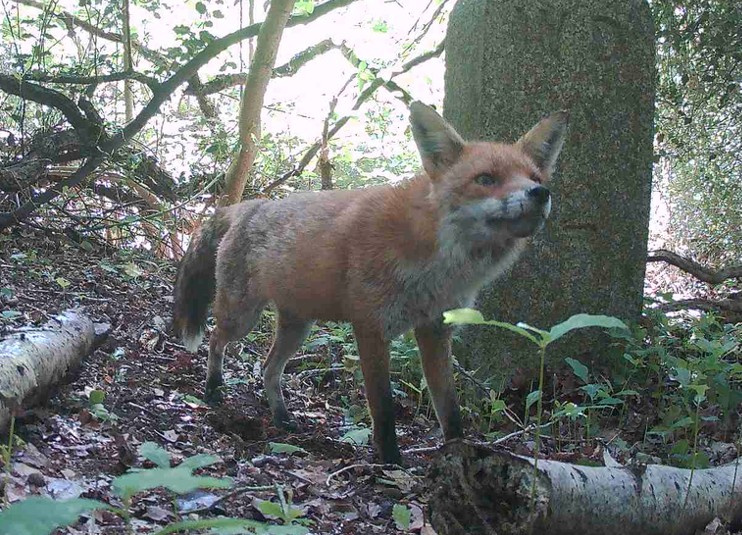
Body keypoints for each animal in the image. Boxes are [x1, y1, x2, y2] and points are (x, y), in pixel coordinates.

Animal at [172, 102, 568, 464]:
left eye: (535, 178)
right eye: (486, 179)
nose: (539, 194)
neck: (436, 265)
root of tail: (249, 205)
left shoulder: (435, 330)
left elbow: (449, 407)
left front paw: (458, 454)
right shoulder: (371, 327)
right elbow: (384, 407)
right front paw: (390, 460)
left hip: (298, 326)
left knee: (269, 370)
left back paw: (282, 417)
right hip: (243, 315)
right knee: (216, 340)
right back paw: (213, 389)